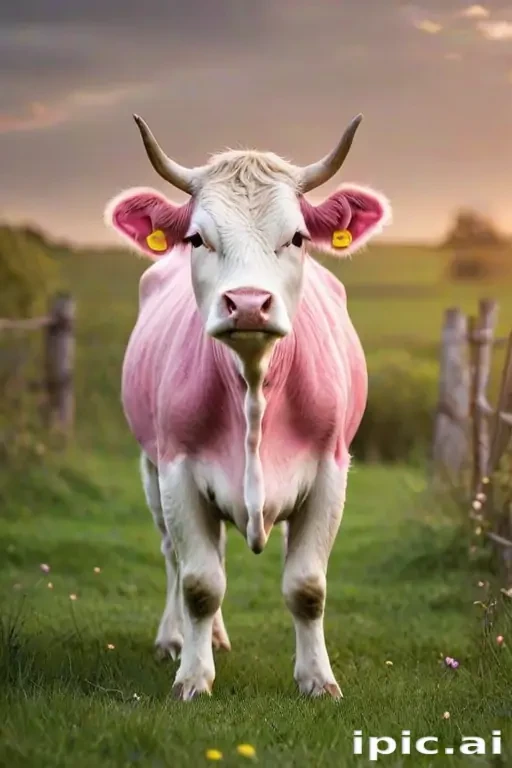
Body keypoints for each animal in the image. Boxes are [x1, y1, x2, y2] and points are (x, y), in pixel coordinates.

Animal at [104, 113, 391, 701]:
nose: (250, 304)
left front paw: (317, 679)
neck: (255, 381)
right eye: (197, 237)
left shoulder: (330, 470)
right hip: (149, 466)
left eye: (297, 236)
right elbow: (198, 583)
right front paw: (192, 677)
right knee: (175, 556)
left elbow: (306, 586)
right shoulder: (177, 470)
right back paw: (180, 638)